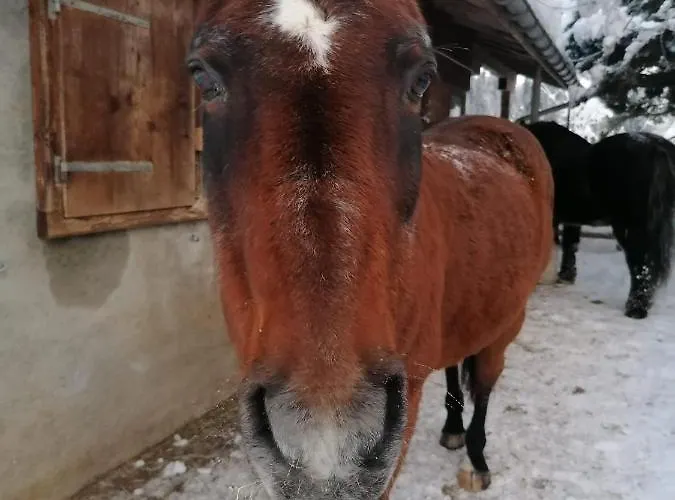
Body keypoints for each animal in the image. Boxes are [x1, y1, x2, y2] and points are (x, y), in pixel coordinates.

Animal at [189, 1, 553, 497]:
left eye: (422, 78)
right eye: (202, 76)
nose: (325, 446)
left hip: (507, 319)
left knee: (483, 383)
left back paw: (476, 456)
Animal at [526, 121, 675, 319]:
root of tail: (656, 148)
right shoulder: (571, 219)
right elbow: (570, 245)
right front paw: (566, 276)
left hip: (631, 228)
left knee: (641, 264)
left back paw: (635, 309)